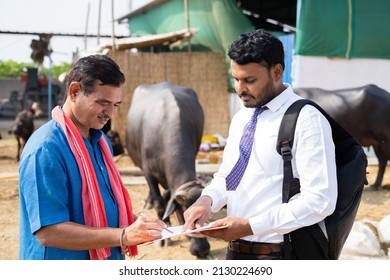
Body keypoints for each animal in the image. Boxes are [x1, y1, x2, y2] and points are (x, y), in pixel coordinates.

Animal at [125, 81, 210, 258]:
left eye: (206, 214)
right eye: (184, 213)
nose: (202, 250)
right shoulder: (148, 173)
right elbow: (160, 204)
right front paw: (164, 238)